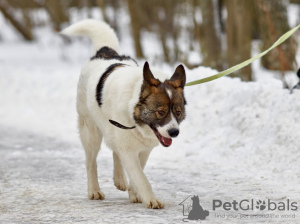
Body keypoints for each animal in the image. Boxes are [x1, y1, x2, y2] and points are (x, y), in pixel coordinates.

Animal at [60, 19, 186, 208]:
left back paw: (119, 179)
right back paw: (94, 190)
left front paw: (135, 193)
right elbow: (141, 178)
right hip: (91, 133)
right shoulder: (129, 149)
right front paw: (151, 199)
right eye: (161, 112)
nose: (174, 132)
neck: (133, 109)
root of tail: (105, 52)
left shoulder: (143, 149)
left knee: (115, 151)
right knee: (91, 162)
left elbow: (137, 173)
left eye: (178, 112)